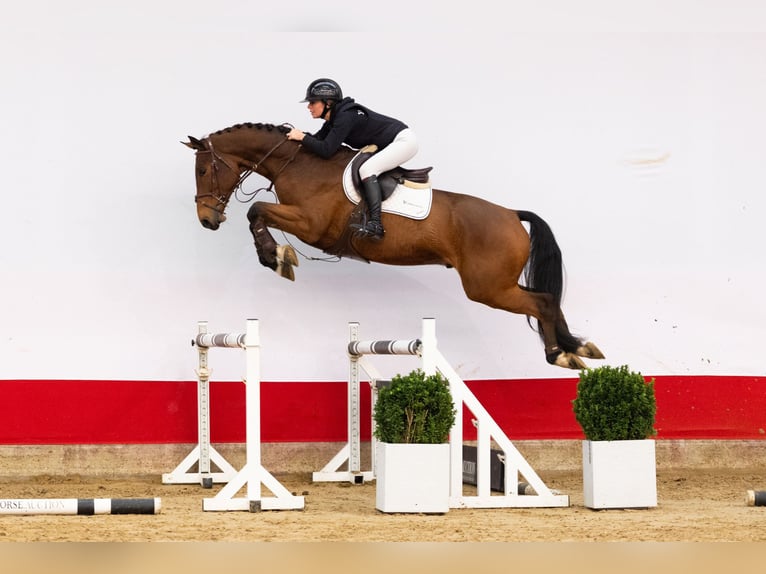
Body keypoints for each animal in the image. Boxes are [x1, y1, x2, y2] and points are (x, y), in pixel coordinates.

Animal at [183, 122, 604, 369]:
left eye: (203, 170)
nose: (207, 220)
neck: (299, 163)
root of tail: (511, 214)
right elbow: (257, 214)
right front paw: (275, 256)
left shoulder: (311, 225)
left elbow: (256, 210)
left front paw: (277, 257)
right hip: (495, 284)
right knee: (547, 299)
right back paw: (577, 350)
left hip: (488, 287)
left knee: (542, 301)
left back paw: (560, 354)